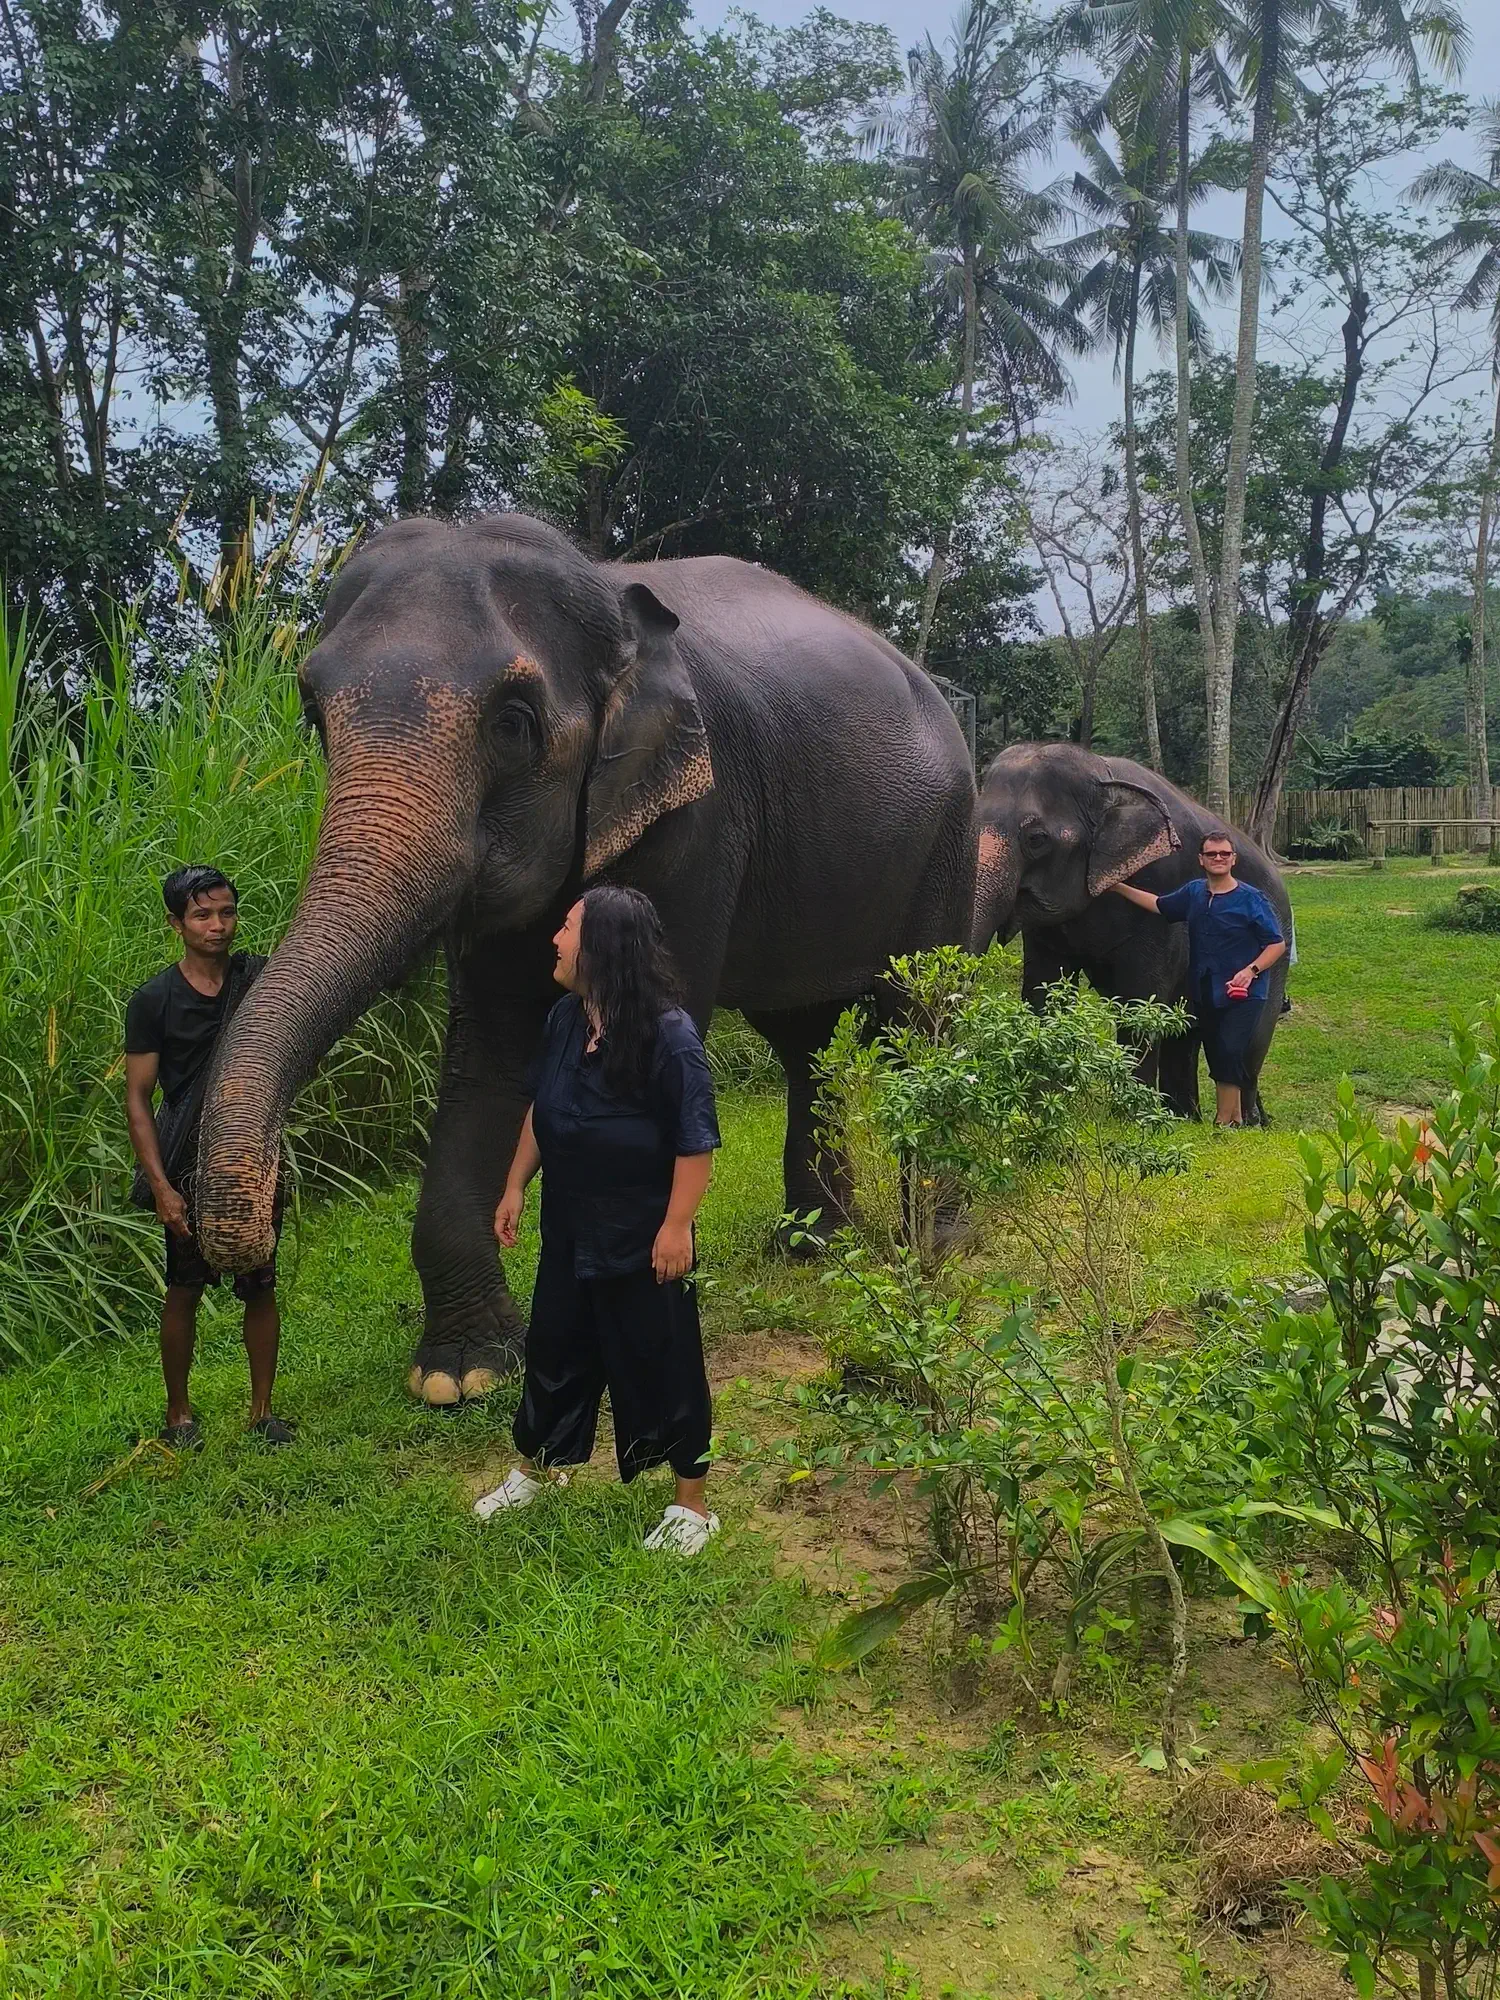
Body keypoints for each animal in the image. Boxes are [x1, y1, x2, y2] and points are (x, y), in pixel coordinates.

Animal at [195, 513, 976, 1404]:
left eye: (513, 722)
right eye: (314, 713)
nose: (260, 1224)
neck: (607, 591)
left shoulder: (697, 819)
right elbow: (495, 1053)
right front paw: (462, 1374)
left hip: (948, 839)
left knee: (922, 1023)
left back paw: (936, 1245)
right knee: (802, 1042)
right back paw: (812, 1249)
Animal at [969, 743, 1292, 1123]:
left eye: (1036, 839)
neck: (1102, 774)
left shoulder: (1161, 885)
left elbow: (1142, 996)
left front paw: (1132, 1115)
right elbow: (1043, 988)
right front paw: (1039, 1103)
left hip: (1276, 953)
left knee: (1241, 1048)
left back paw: (1244, 1123)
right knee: (1185, 1038)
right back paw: (1186, 1117)